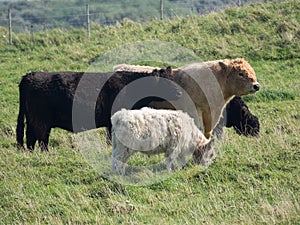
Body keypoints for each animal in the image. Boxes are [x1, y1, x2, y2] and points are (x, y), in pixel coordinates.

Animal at [16, 67, 180, 151]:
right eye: (166, 82)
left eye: (173, 79)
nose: (179, 92)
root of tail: (29, 75)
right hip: (41, 120)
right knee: (41, 139)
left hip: (32, 119)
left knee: (30, 138)